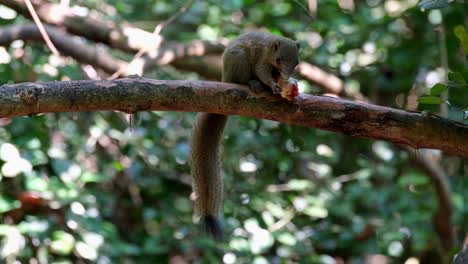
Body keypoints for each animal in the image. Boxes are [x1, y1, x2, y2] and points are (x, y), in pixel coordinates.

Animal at [189, 31, 300, 239]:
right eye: (279, 59)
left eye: (296, 62)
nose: (286, 75)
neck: (270, 48)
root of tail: (224, 76)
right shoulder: (262, 60)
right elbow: (262, 72)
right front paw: (273, 85)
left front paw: (290, 83)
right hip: (238, 59)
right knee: (241, 79)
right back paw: (253, 83)